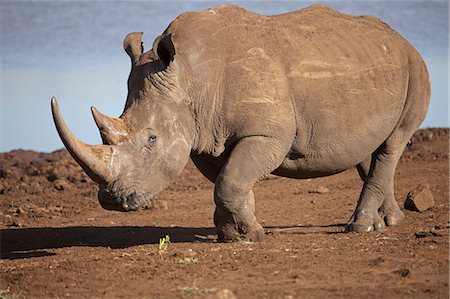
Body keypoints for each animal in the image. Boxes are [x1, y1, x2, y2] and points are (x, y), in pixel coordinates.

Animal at [51, 4, 430, 243]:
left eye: (152, 140)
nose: (112, 201)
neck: (190, 77)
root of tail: (400, 38)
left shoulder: (267, 133)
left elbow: (230, 182)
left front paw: (248, 235)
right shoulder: (205, 138)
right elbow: (230, 182)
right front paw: (235, 234)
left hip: (415, 66)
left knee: (393, 143)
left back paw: (360, 228)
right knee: (371, 150)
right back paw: (387, 222)